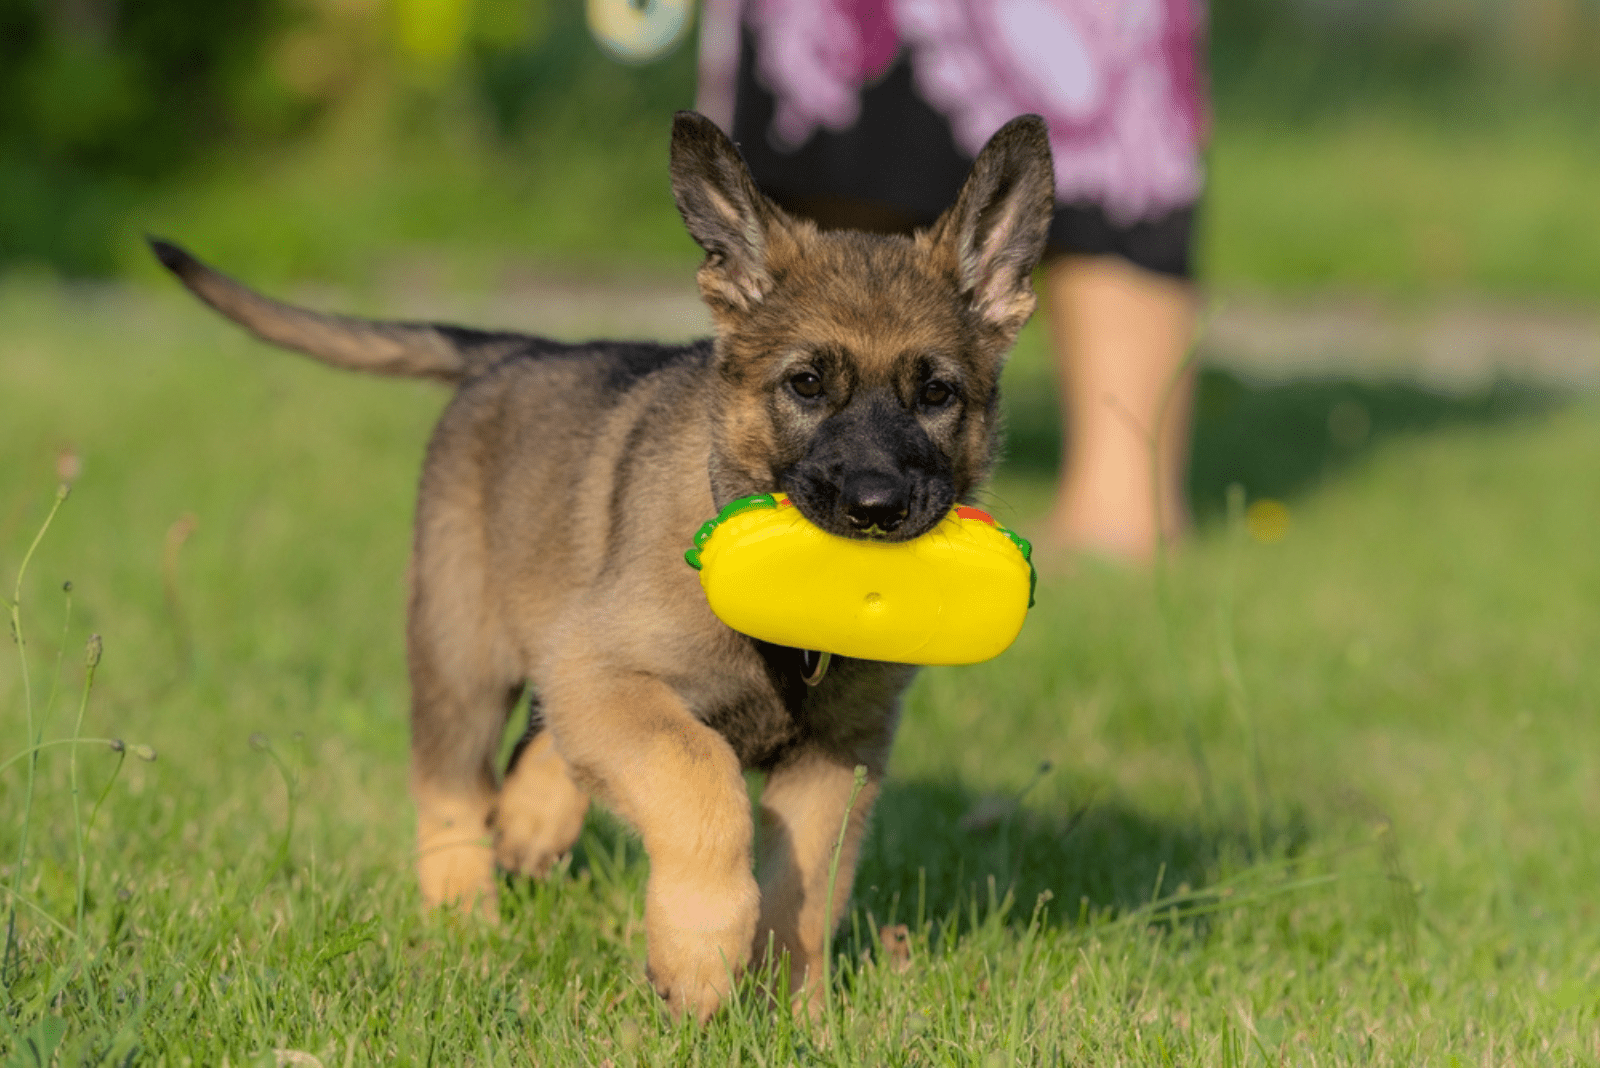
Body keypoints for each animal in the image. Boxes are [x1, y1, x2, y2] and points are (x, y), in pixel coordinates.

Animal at [147, 110, 1049, 1016]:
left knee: (541, 739)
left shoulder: (839, 752)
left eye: (937, 395)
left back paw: (531, 823)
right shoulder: (614, 673)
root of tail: (517, 351)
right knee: (451, 786)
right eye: (805, 385)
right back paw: (463, 923)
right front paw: (700, 952)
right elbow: (699, 777)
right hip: (463, 650)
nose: (875, 507)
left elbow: (805, 893)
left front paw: (801, 1014)